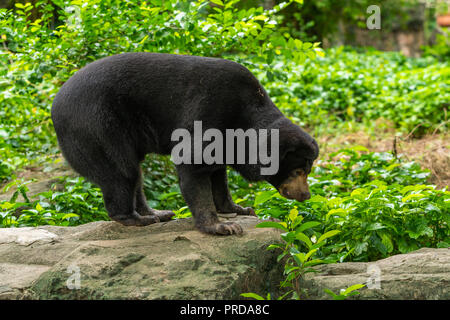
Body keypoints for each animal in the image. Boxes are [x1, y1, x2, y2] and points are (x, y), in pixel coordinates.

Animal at [51, 52, 320, 235]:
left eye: (307, 171)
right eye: (298, 171)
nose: (306, 195)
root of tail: (55, 104)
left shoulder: (228, 143)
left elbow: (218, 177)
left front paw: (239, 209)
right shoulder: (211, 113)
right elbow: (192, 162)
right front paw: (222, 227)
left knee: (134, 173)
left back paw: (157, 213)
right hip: (96, 126)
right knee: (122, 172)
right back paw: (136, 218)